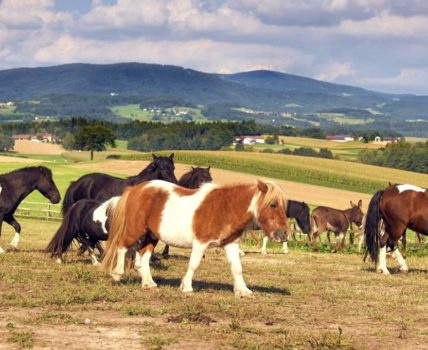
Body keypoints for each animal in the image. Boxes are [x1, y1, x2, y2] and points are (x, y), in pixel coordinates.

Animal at [102, 179, 290, 296]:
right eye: (273, 204)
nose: (283, 234)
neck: (226, 207)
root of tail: (135, 189)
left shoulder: (231, 244)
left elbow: (237, 268)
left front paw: (243, 291)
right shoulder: (200, 243)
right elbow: (193, 264)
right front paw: (186, 287)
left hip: (151, 236)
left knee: (144, 257)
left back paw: (149, 283)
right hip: (135, 230)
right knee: (121, 246)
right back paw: (117, 274)